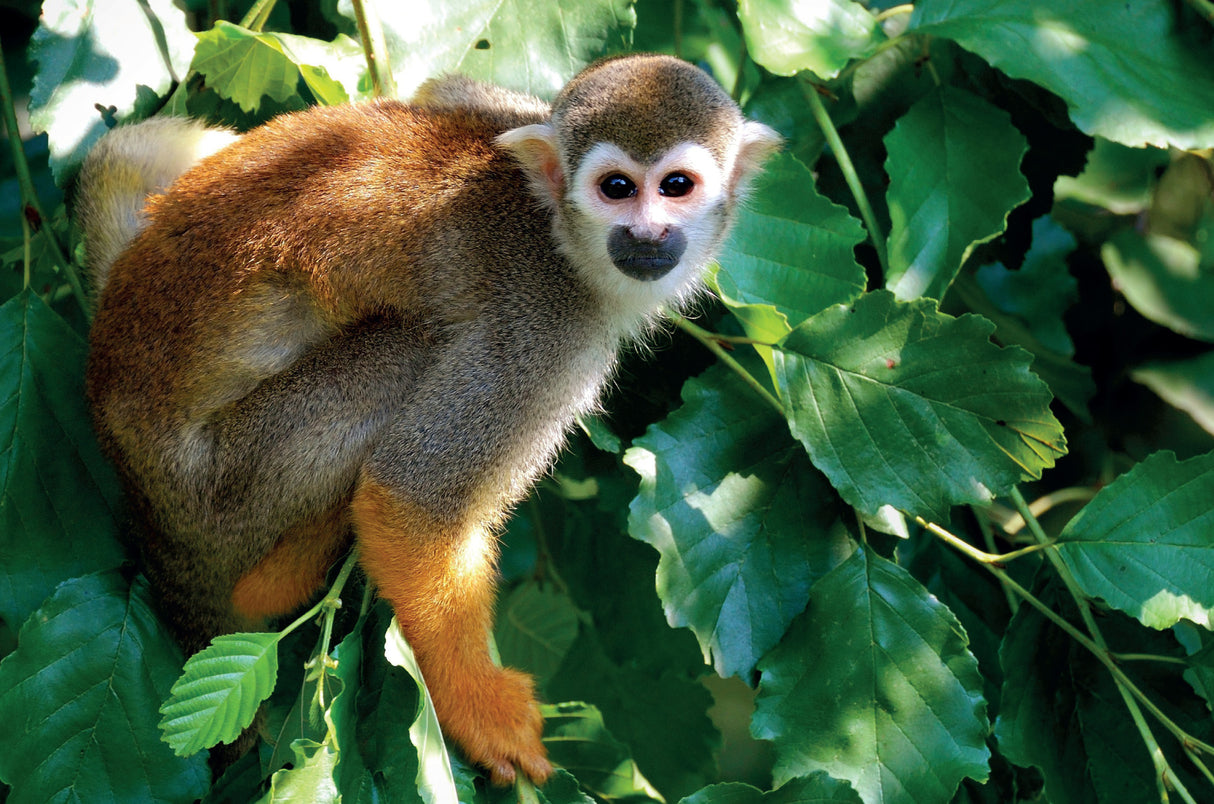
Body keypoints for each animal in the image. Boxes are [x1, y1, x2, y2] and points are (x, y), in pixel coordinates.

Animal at [77, 53, 780, 785]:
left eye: (677, 187)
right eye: (616, 188)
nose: (646, 235)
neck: (557, 233)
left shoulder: (507, 111)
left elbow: (437, 92)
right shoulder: (543, 330)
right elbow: (415, 499)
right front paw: (482, 709)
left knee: (126, 150)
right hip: (219, 490)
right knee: (405, 353)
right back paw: (285, 574)